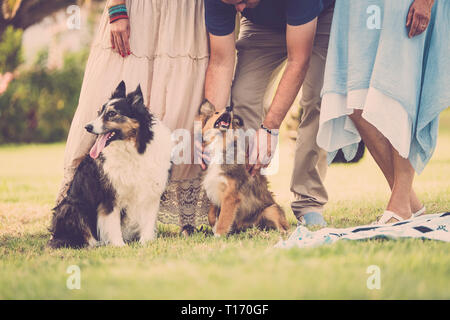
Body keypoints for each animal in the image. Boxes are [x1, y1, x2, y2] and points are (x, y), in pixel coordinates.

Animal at [49, 81, 172, 249]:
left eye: (112, 114)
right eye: (99, 112)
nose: (87, 127)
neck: (134, 148)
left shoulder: (151, 192)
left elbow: (148, 221)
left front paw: (146, 242)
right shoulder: (109, 196)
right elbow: (113, 224)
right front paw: (119, 246)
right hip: (70, 207)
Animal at [198, 100, 290, 238]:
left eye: (231, 116)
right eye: (216, 112)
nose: (229, 107)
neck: (220, 144)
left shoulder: (231, 195)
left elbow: (224, 217)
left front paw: (219, 234)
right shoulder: (215, 186)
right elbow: (211, 213)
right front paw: (214, 225)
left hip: (270, 209)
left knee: (282, 227)